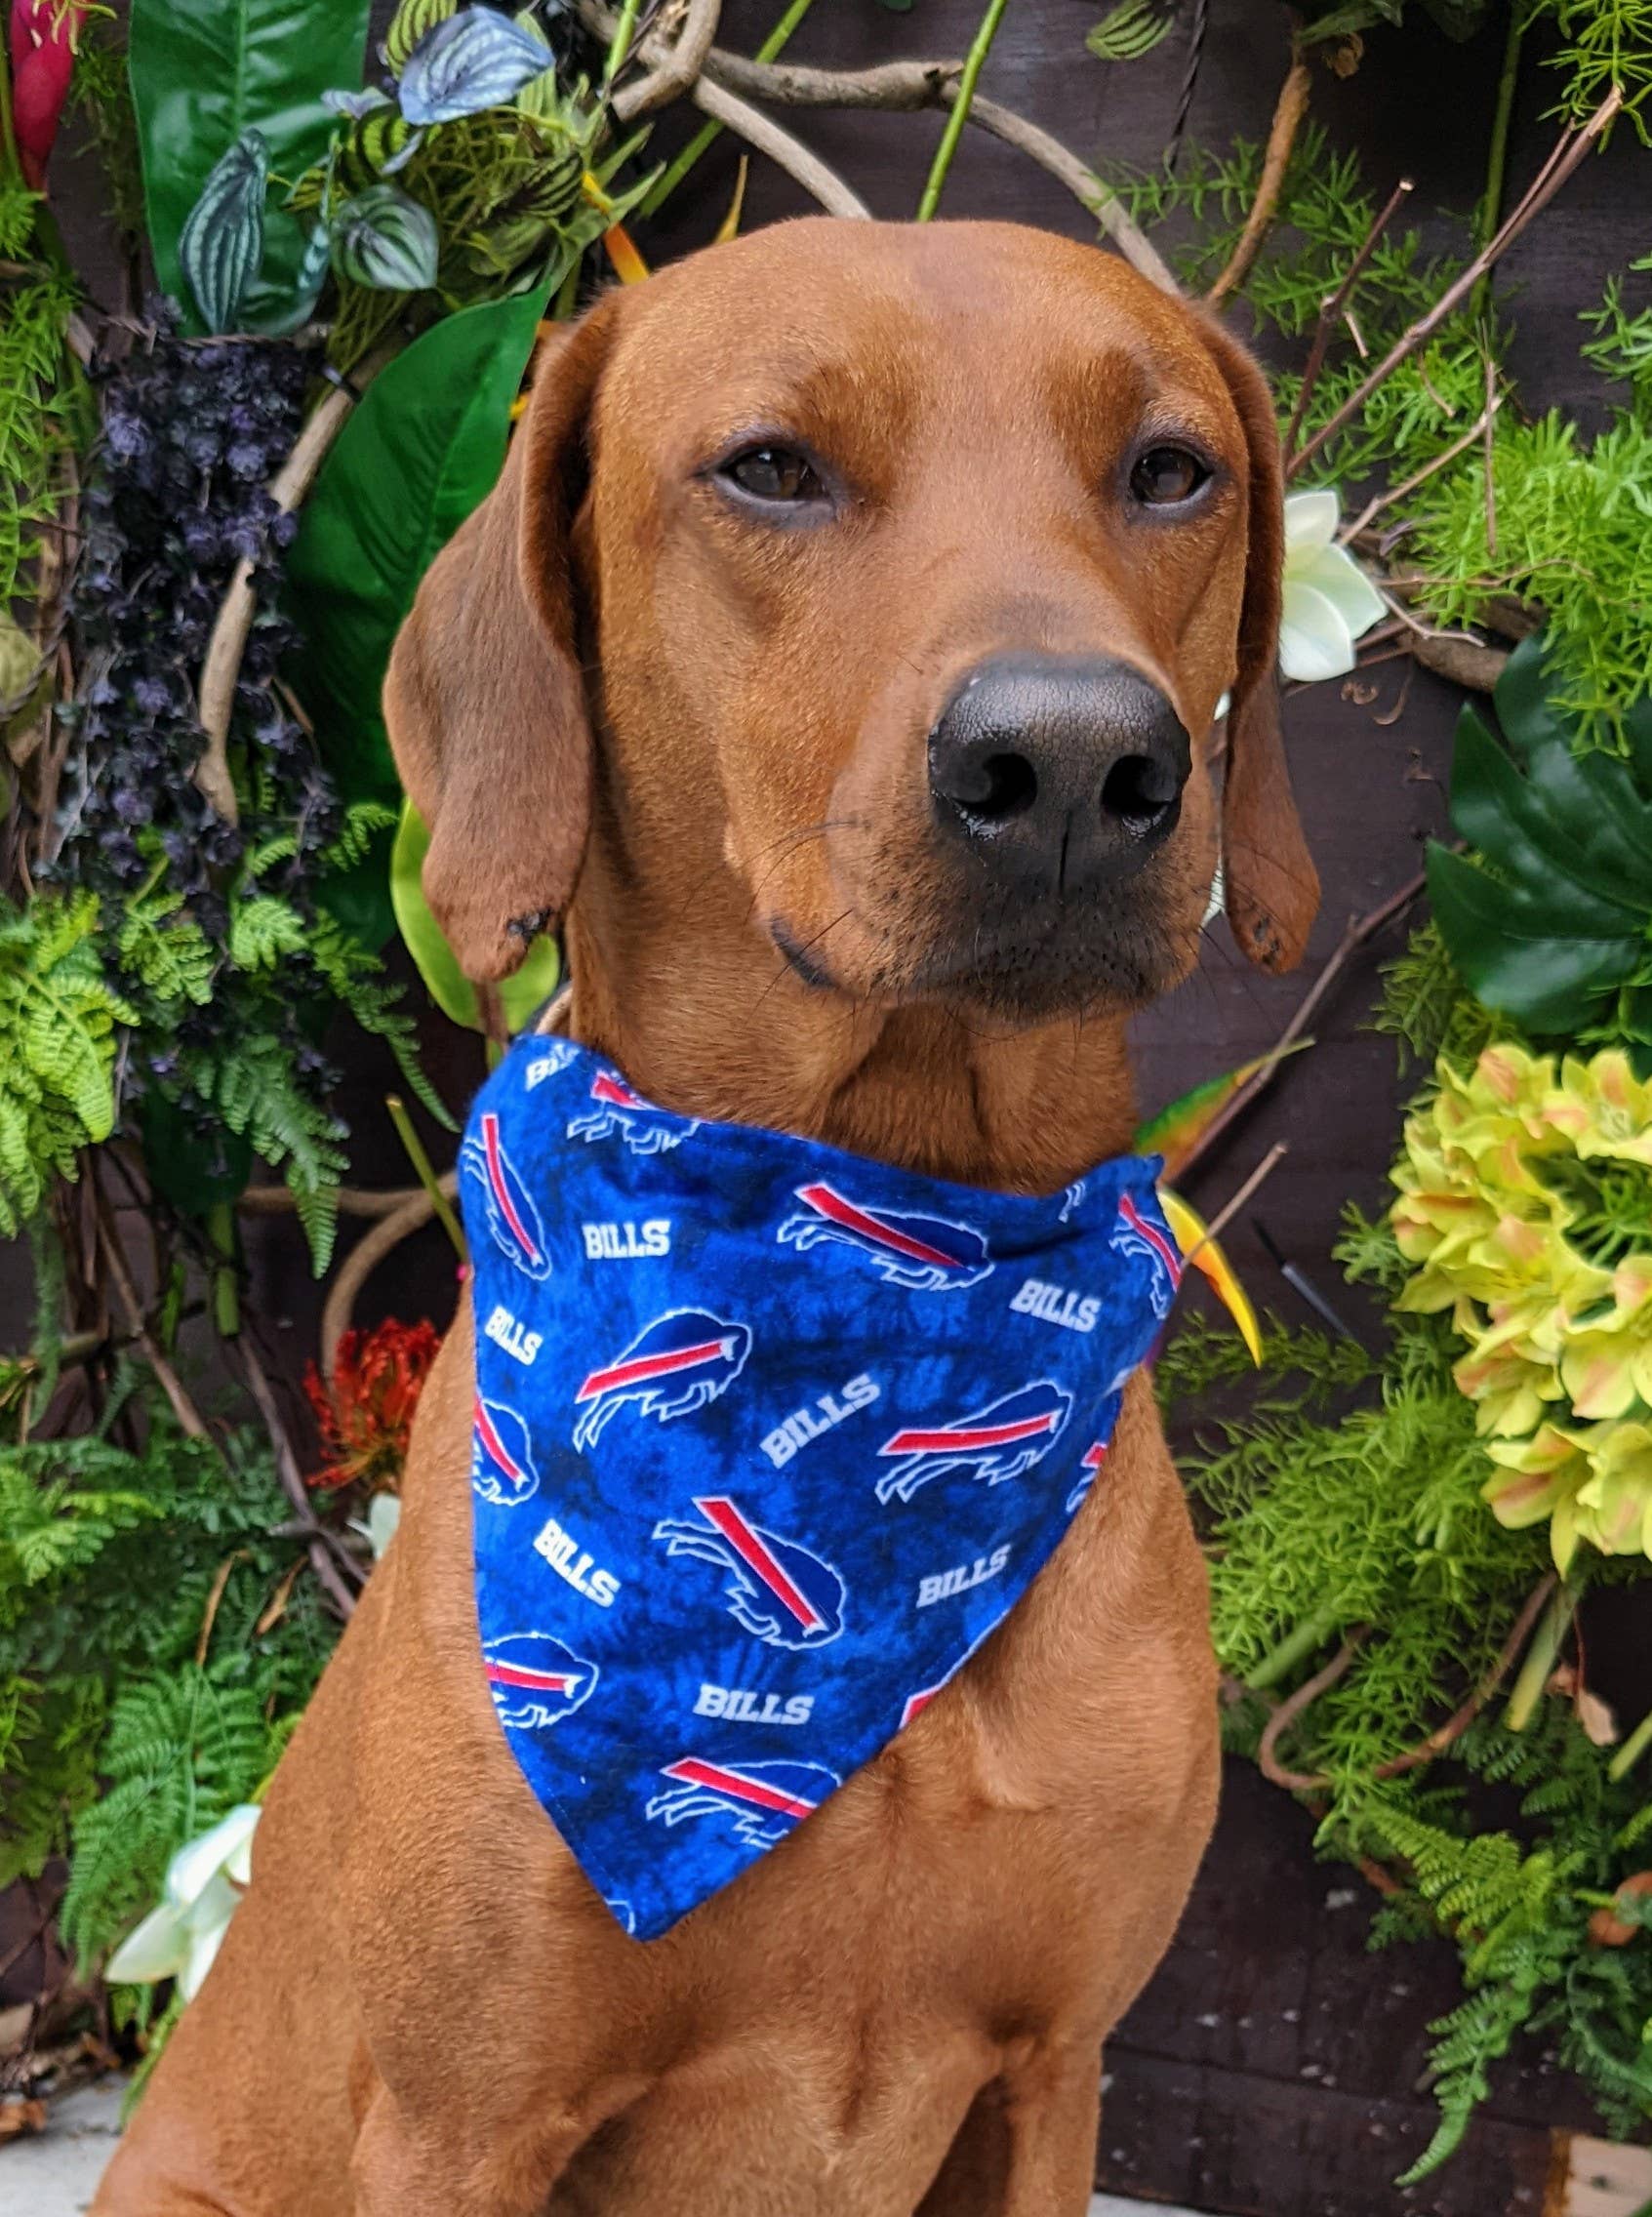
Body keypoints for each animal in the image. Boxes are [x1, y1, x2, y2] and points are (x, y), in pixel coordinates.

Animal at [94, 221, 1312, 2217]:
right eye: (768, 468)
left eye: (1168, 470)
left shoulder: (1052, 2072)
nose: (1072, 759)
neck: (889, 1241)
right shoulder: (463, 2118)